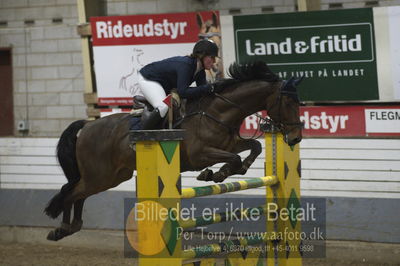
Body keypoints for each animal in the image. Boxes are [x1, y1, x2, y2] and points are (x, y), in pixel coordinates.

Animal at [43, 60, 304, 241]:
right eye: (289, 102)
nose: (295, 138)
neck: (218, 112)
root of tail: (87, 125)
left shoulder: (230, 143)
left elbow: (254, 147)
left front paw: (233, 170)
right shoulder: (200, 154)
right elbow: (232, 158)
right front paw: (216, 174)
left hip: (111, 176)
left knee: (76, 191)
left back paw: (69, 228)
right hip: (100, 175)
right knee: (72, 192)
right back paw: (63, 228)